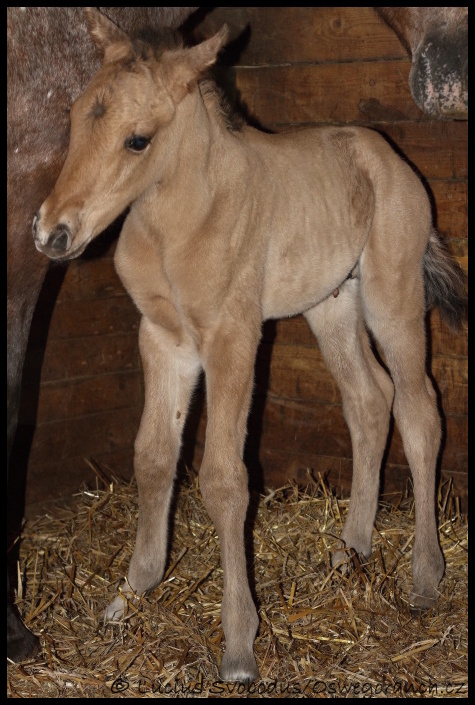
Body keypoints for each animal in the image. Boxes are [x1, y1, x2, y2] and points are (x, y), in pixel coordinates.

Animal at [34, 6, 468, 680]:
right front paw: (132, 592)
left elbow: (223, 478)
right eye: (77, 115)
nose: (51, 233)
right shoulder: (162, 338)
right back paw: (350, 549)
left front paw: (239, 645)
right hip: (330, 304)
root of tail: (390, 158)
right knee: (370, 400)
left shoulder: (232, 338)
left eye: (138, 140)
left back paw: (425, 578)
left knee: (419, 408)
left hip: (391, 296)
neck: (176, 223)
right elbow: (153, 456)